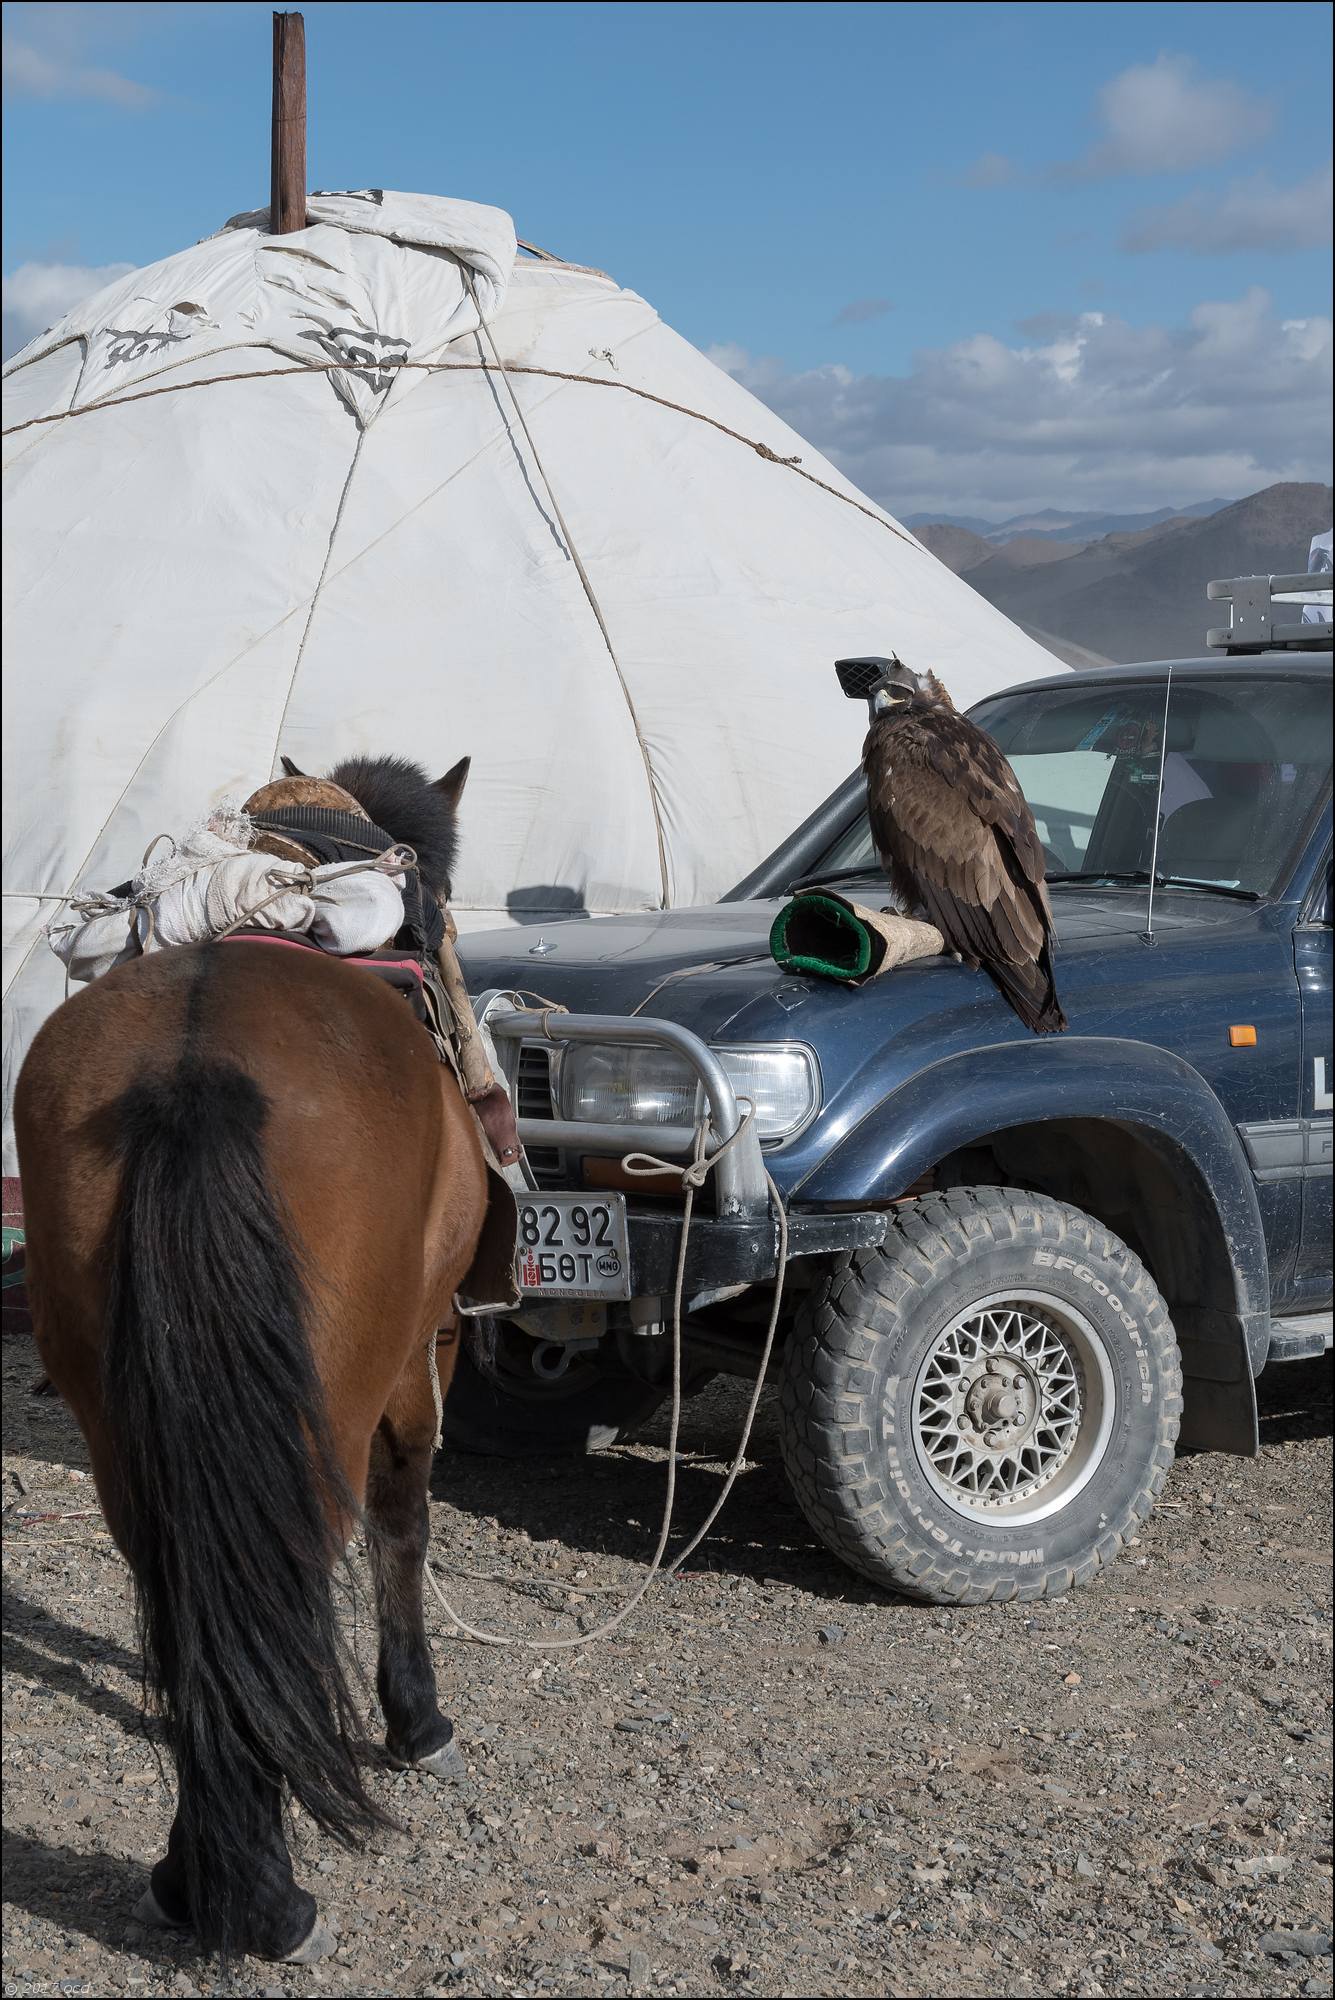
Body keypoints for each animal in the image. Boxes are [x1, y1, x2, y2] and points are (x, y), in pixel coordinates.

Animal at [14, 756, 485, 1960]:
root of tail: (196, 1063)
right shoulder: (426, 1349)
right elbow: (404, 1520)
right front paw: (416, 1718)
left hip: (122, 1421)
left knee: (185, 1584)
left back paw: (198, 1874)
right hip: (339, 1397)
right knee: (294, 1561)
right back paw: (267, 1895)